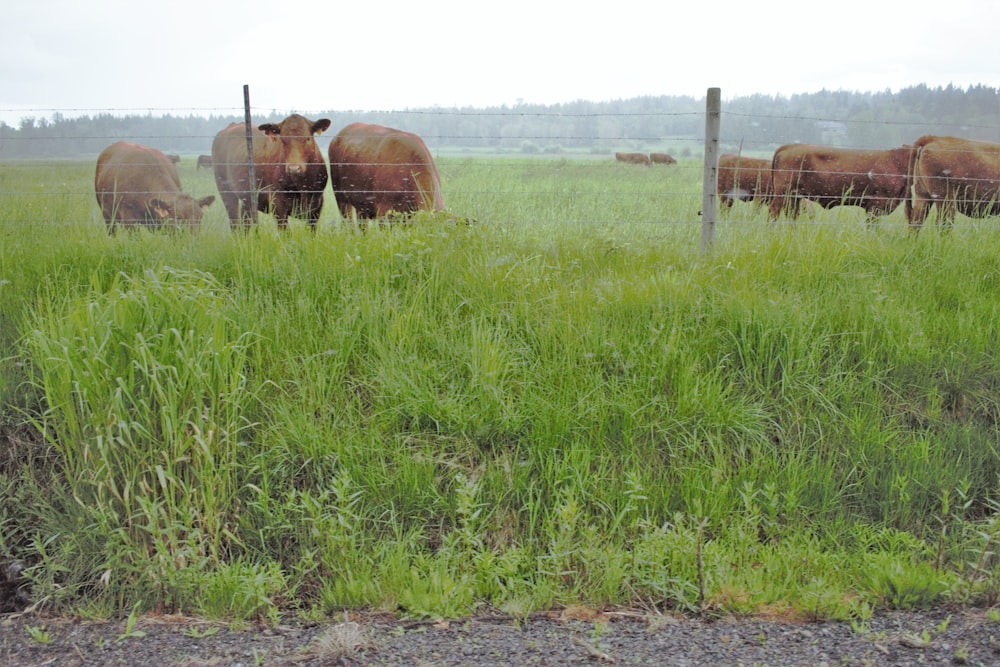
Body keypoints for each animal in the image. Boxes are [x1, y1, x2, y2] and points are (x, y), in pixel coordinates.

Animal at [764, 144, 916, 222]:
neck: (896, 162)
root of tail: (789, 146)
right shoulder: (876, 204)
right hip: (782, 193)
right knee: (774, 212)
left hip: (794, 197)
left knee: (792, 214)